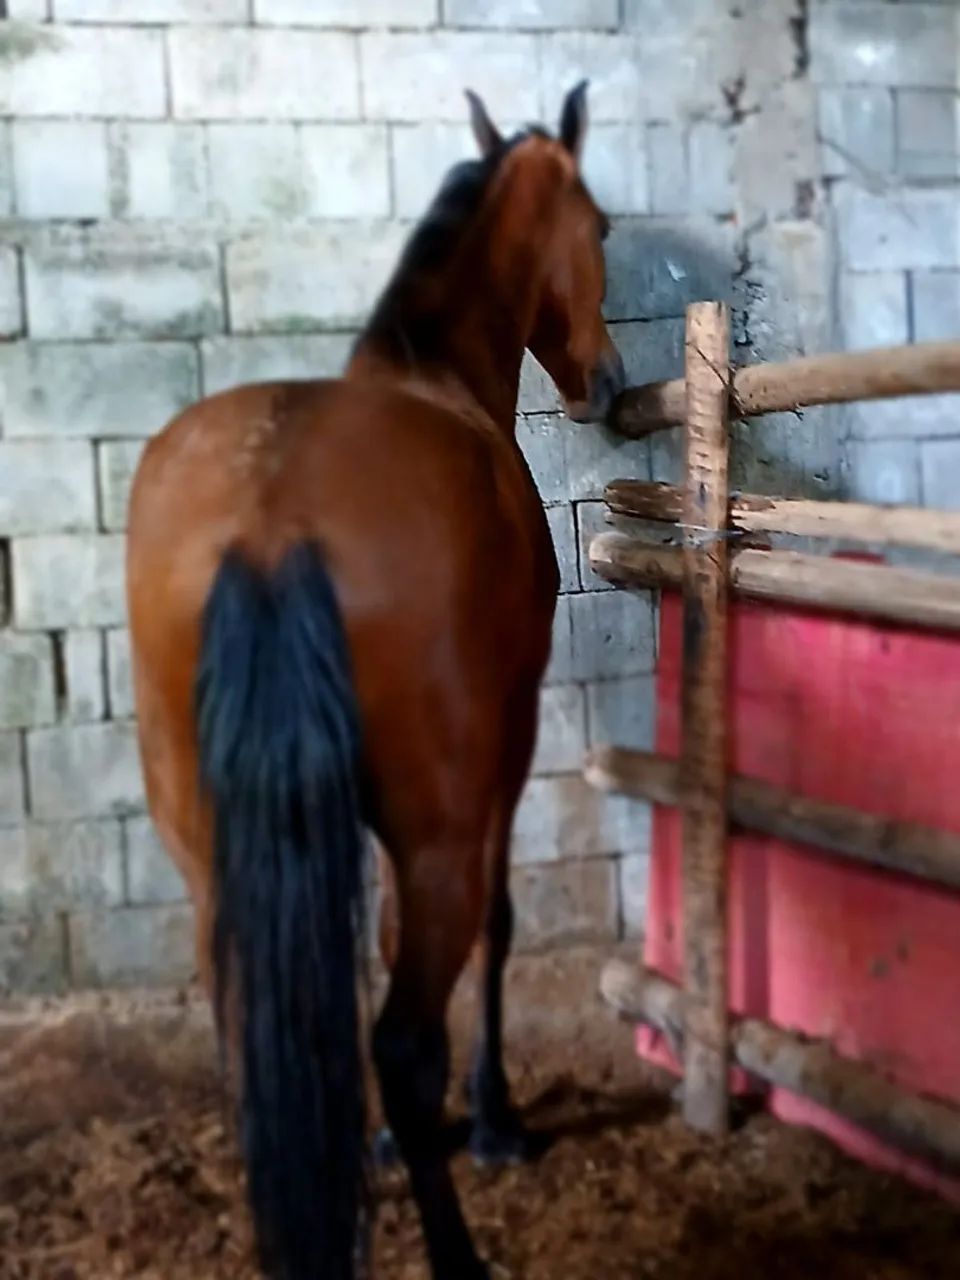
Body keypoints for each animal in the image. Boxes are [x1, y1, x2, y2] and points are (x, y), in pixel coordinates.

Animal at [126, 81, 624, 1280]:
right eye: (602, 229)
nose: (606, 383)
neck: (426, 367)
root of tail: (268, 522)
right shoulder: (503, 748)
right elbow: (495, 921)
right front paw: (488, 1122)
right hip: (439, 819)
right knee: (401, 1036)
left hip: (208, 849)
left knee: (255, 1030)